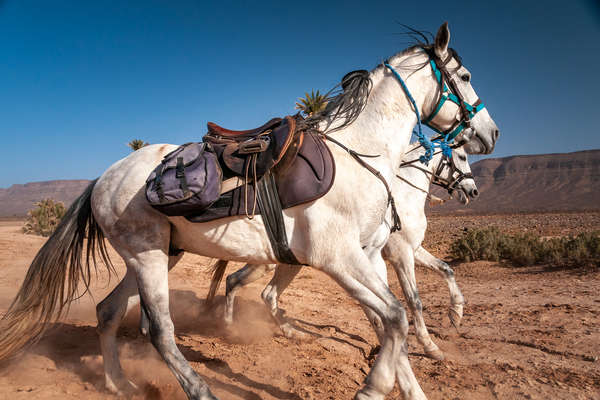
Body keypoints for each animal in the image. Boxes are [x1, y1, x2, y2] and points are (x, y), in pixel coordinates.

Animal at [212, 143, 478, 360]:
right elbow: (414, 300)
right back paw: (231, 328)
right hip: (269, 263)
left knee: (247, 286)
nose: (472, 191)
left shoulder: (414, 250)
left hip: (285, 264)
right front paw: (429, 346)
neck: (403, 197)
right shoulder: (401, 254)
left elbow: (447, 269)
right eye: (463, 156)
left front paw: (456, 313)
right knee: (240, 283)